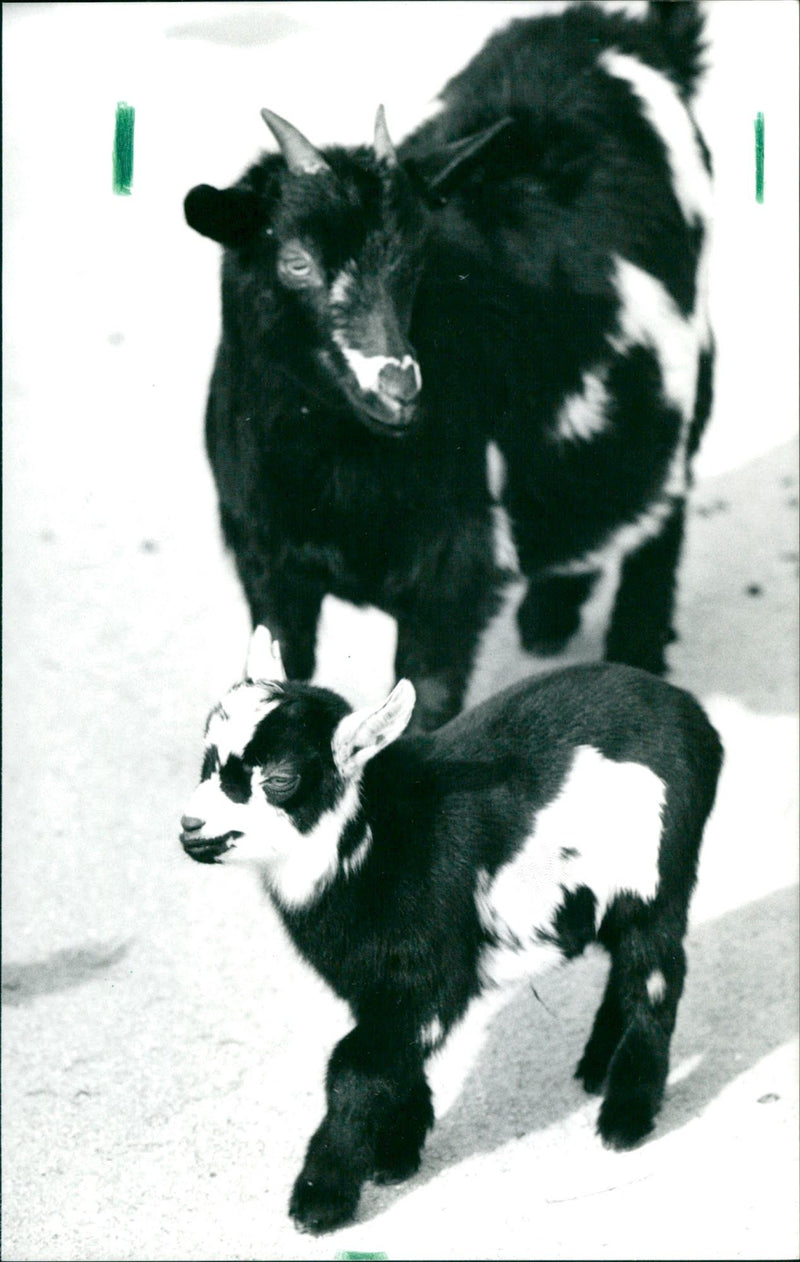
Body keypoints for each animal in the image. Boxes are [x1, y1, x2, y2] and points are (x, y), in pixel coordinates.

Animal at [180, 625, 723, 1234]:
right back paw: (596, 1066)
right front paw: (396, 1153)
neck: (374, 838)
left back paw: (626, 1114)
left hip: (660, 874)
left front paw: (322, 1198)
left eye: (280, 778)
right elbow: (392, 1060)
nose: (191, 826)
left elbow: (357, 1066)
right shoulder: (378, 984)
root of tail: (690, 713)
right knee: (626, 965)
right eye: (206, 759)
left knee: (655, 973)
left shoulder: (431, 971)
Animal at [183, 0, 714, 731]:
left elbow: (424, 704)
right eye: (295, 261)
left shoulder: (450, 575)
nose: (399, 384)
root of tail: (618, 29)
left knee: (660, 509)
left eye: (417, 254)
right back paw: (548, 618)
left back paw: (635, 650)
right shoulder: (269, 562)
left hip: (689, 376)